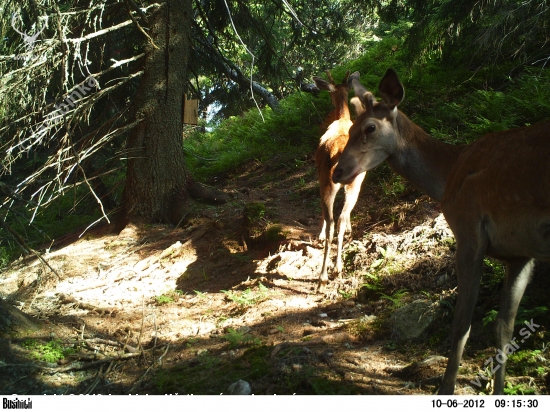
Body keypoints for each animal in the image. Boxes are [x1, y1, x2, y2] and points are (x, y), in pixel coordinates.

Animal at [332, 68, 550, 396]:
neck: (447, 177)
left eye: (370, 127)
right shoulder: (519, 254)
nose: (337, 172)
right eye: (352, 127)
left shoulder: (469, 233)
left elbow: (461, 325)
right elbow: (504, 328)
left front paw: (446, 388)